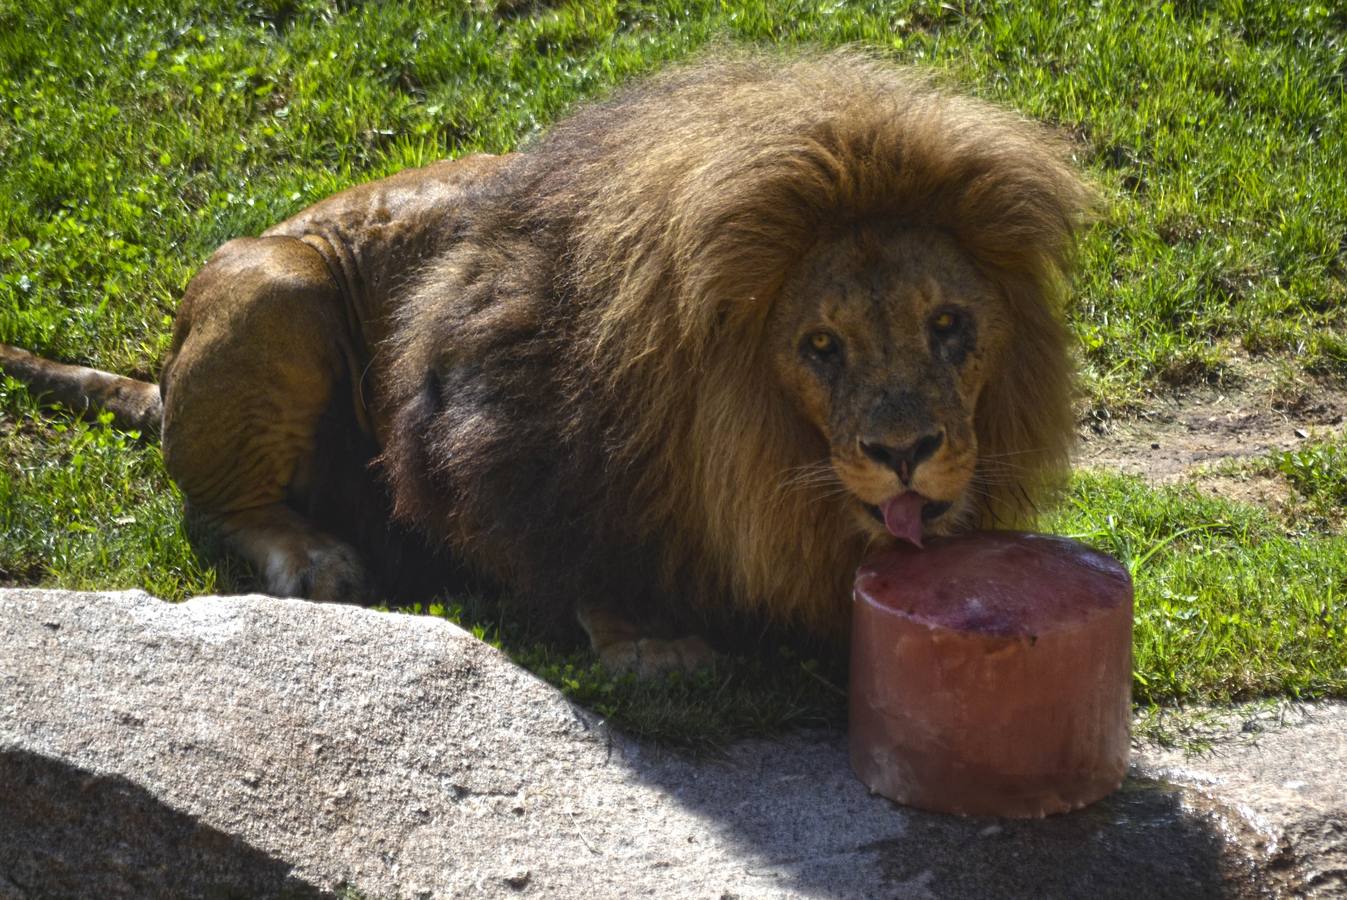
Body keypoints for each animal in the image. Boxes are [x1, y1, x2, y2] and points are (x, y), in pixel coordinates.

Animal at [2, 50, 1093, 673]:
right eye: (820, 347)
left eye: (947, 325)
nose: (905, 452)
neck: (761, 453)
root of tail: (164, 368)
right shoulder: (511, 440)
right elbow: (577, 548)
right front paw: (649, 640)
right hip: (276, 287)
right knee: (213, 503)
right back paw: (314, 555)